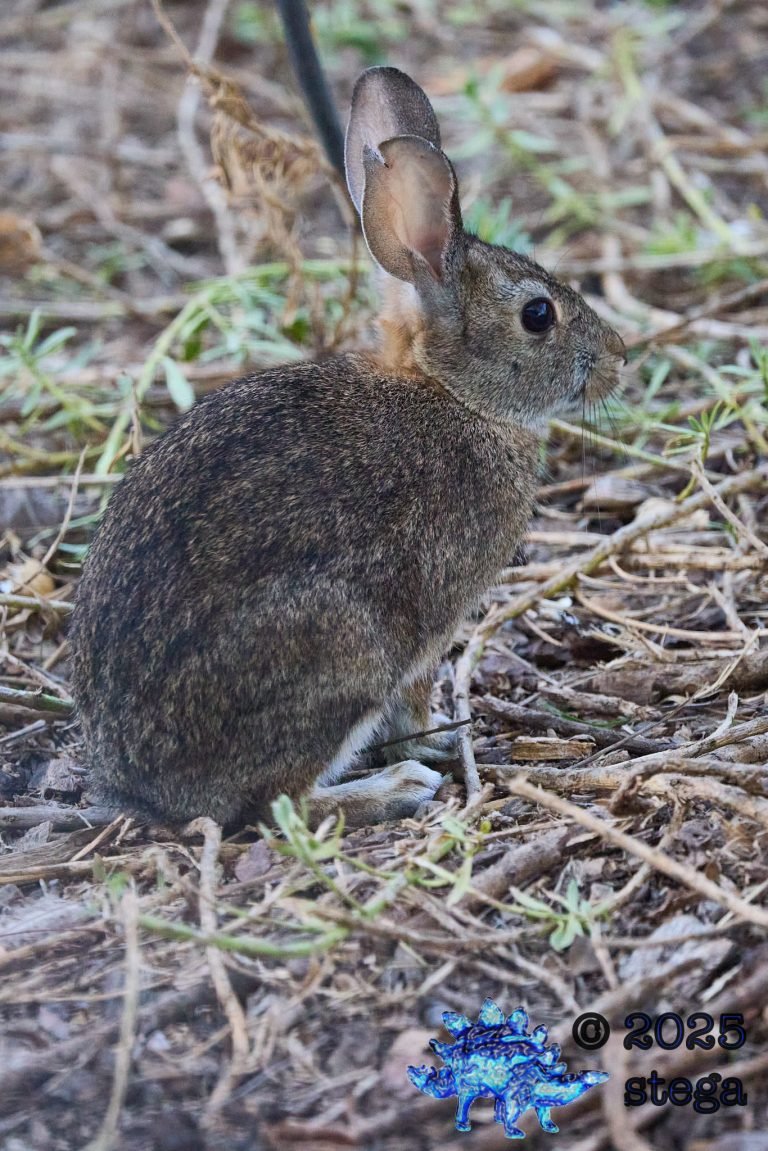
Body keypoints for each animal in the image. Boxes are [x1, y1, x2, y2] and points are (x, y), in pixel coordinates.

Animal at [70, 67, 625, 830]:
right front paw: (436, 745)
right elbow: (413, 701)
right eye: (538, 315)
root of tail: (142, 785)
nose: (619, 358)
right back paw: (395, 787)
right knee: (282, 802)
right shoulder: (430, 625)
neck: (453, 394)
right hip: (342, 648)